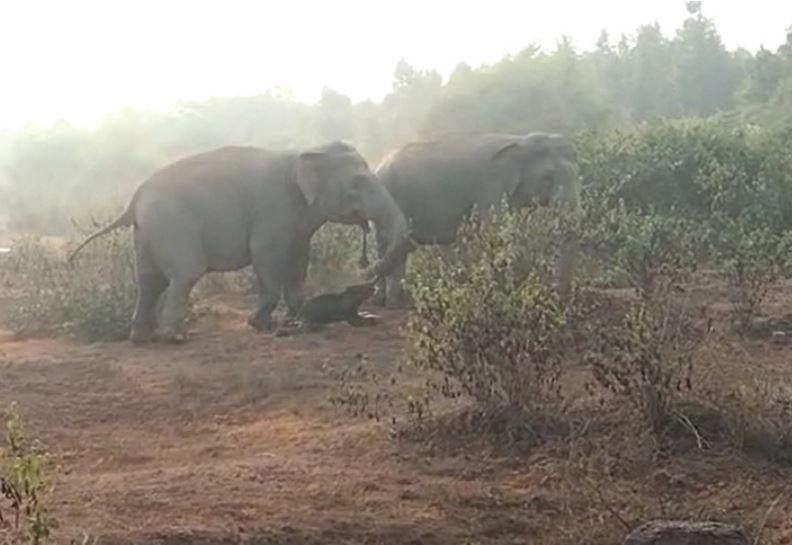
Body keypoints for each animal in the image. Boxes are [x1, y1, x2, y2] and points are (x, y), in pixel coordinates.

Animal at [68, 142, 408, 342]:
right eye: (357, 184)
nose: (371, 265)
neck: (307, 150)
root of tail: (134, 199)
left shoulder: (297, 221)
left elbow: (299, 258)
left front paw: (295, 316)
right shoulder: (273, 209)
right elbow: (266, 256)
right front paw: (260, 325)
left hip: (148, 232)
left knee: (149, 280)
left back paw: (140, 337)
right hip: (172, 225)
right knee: (185, 274)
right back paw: (173, 338)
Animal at [372, 132, 580, 308]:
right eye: (547, 179)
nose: (560, 297)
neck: (518, 140)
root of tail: (378, 166)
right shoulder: (489, 189)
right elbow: (495, 233)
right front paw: (502, 295)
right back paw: (389, 303)